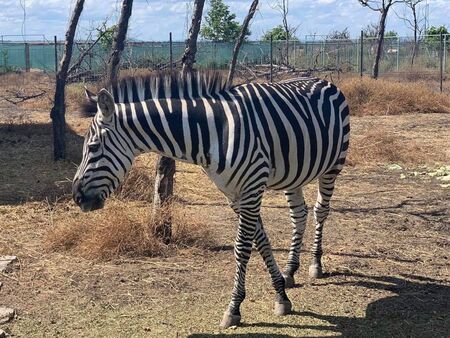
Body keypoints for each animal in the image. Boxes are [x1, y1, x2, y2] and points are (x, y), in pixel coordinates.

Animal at [73, 70, 348, 328]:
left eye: (94, 147)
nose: (76, 197)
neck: (212, 134)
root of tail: (321, 79)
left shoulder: (252, 186)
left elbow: (242, 247)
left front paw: (234, 308)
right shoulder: (234, 193)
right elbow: (261, 241)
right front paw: (281, 292)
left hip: (333, 165)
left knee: (320, 211)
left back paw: (316, 264)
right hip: (293, 174)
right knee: (298, 214)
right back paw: (291, 270)